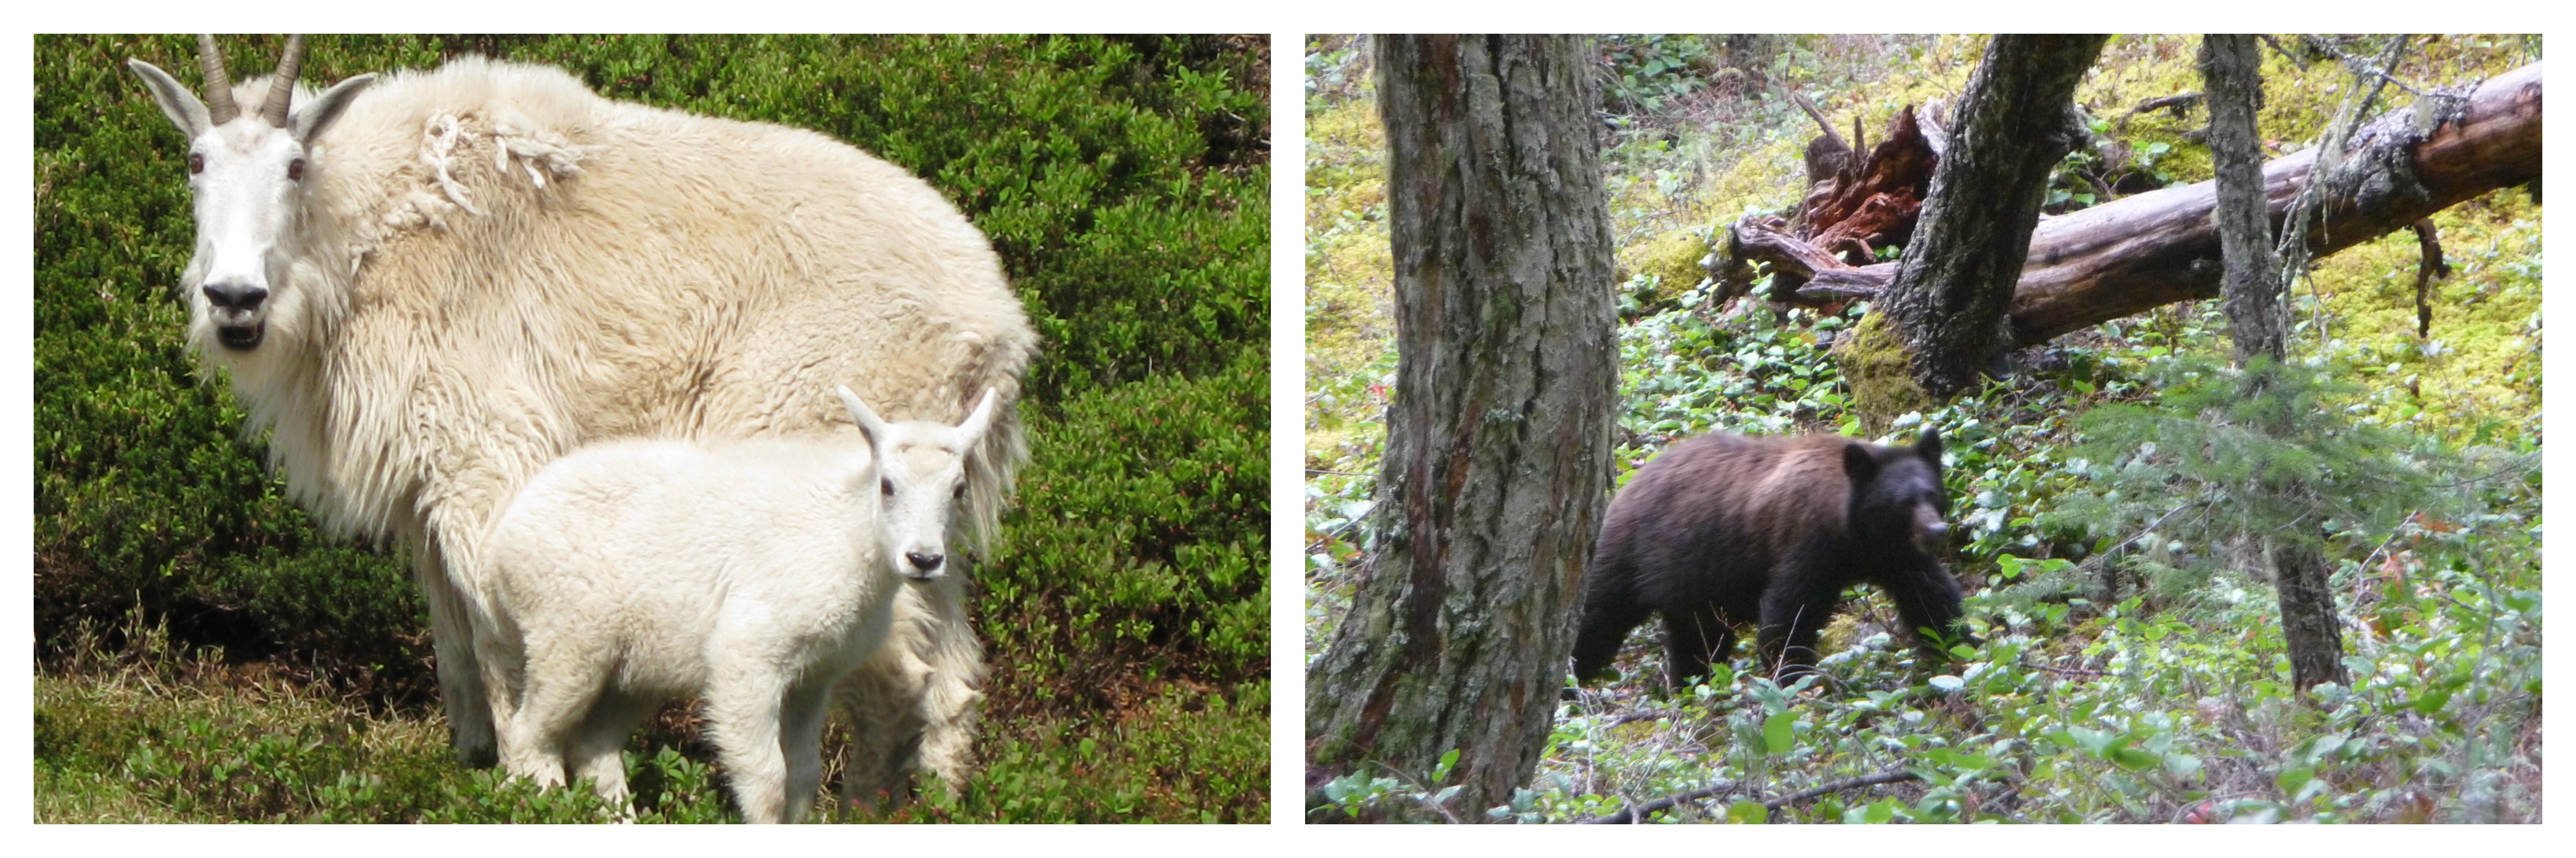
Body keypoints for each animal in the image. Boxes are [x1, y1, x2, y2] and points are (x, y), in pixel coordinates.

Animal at [1570, 428, 1966, 689]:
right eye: (1903, 502)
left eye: (1932, 494)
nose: (1936, 531)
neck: (1852, 531)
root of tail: (1625, 486)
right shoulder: (1808, 542)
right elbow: (1789, 611)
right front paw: (1794, 677)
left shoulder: (1896, 555)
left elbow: (1931, 597)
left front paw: (1959, 648)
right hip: (1629, 555)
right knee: (1596, 618)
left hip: (1694, 588)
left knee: (1697, 641)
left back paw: (1692, 687)